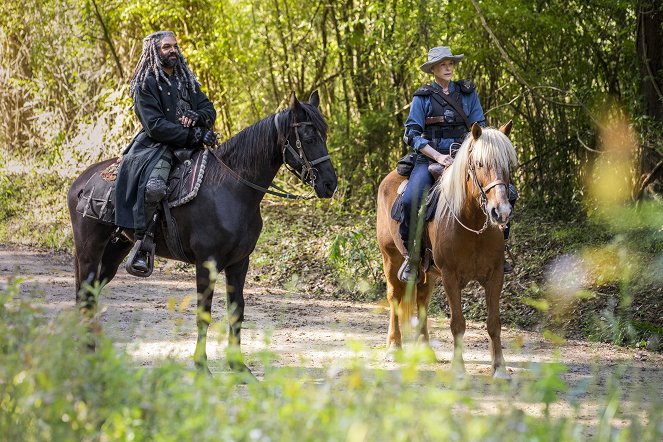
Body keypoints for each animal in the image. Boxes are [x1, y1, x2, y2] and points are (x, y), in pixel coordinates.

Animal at [67, 92, 338, 372]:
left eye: (324, 135)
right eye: (309, 138)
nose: (330, 184)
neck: (232, 189)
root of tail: (81, 182)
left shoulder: (239, 263)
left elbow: (236, 311)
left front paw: (238, 366)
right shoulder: (206, 262)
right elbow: (204, 313)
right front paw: (201, 366)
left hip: (115, 250)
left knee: (90, 296)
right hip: (89, 251)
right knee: (84, 296)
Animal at [378, 122, 520, 378]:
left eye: (507, 164)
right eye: (480, 164)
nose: (501, 211)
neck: (472, 223)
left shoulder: (495, 275)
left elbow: (494, 323)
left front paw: (500, 368)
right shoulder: (450, 276)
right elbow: (458, 323)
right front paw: (459, 368)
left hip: (427, 272)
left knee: (422, 300)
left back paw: (425, 350)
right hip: (390, 258)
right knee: (394, 297)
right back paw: (393, 347)